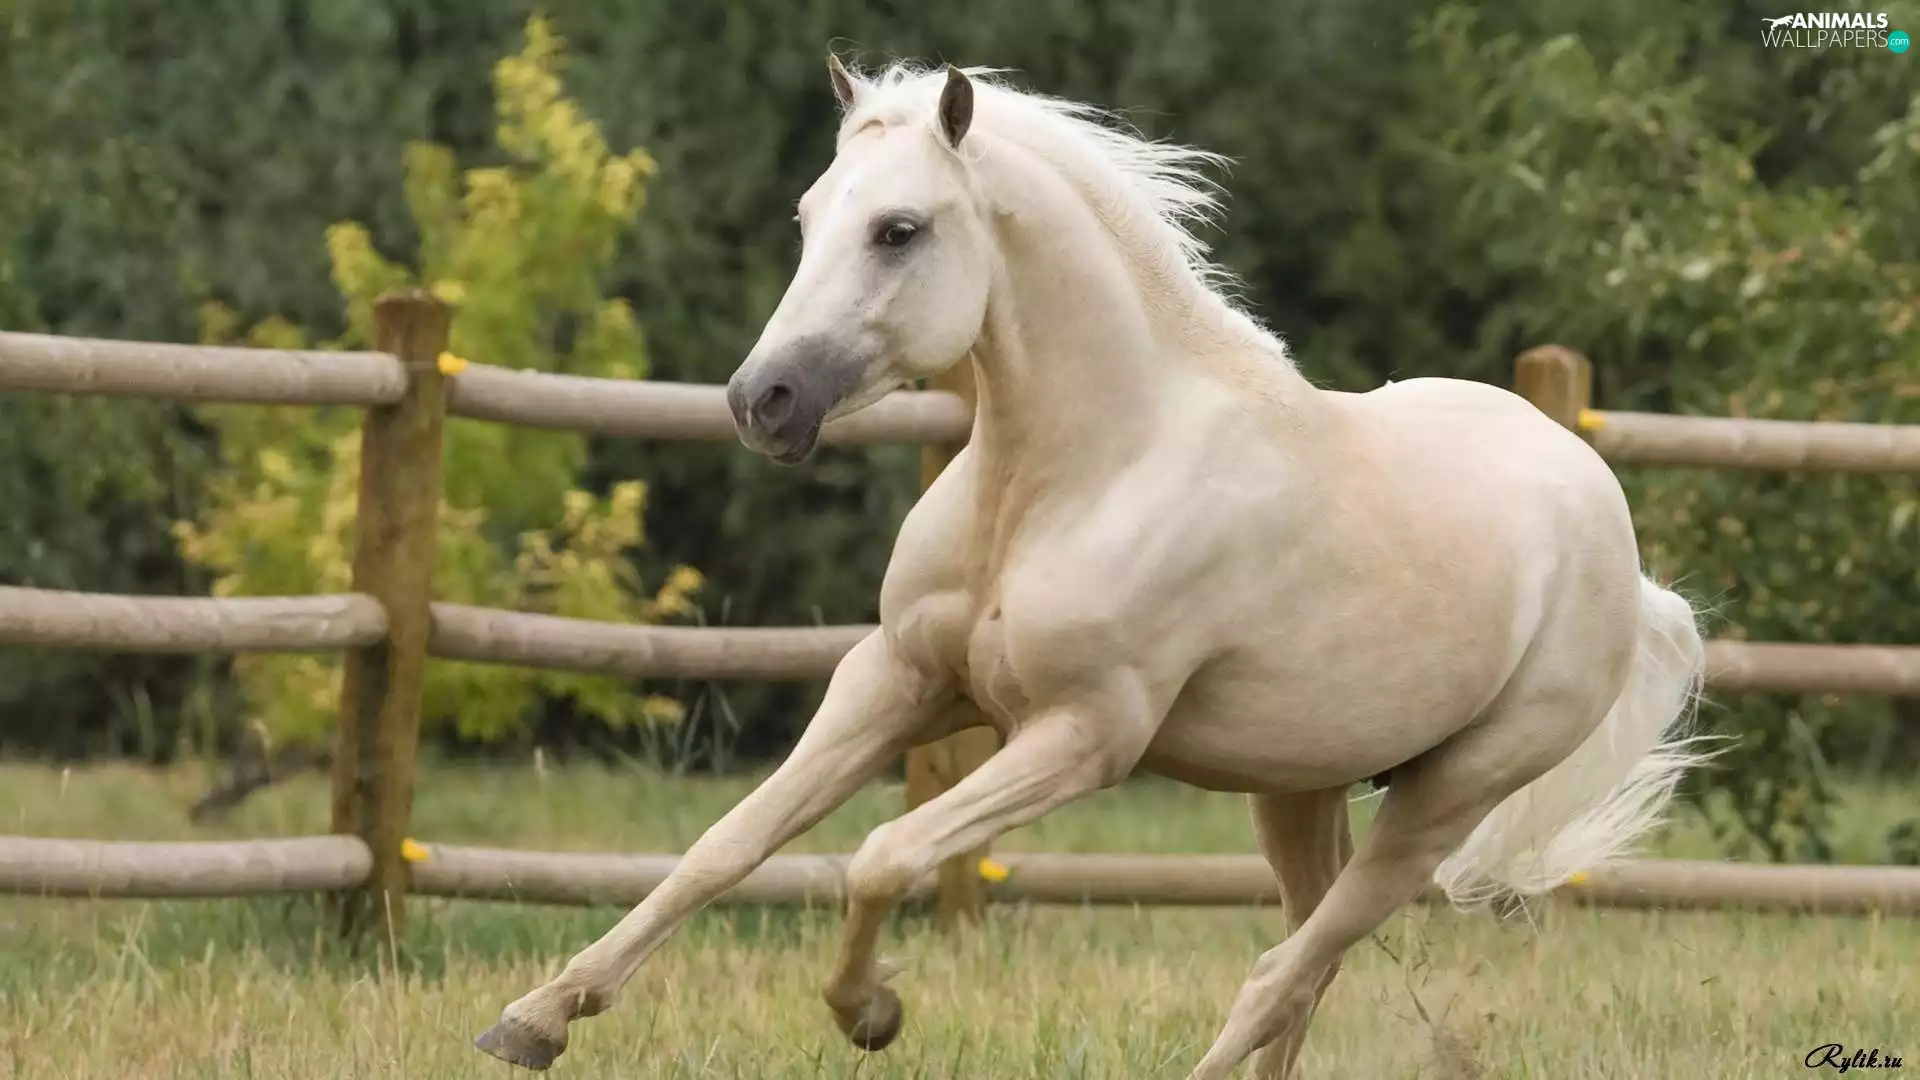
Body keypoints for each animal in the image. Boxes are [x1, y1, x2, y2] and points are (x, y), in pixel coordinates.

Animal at [476, 58, 1708, 1079]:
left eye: (899, 230)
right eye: (810, 216)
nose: (762, 402)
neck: (1070, 479)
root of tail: (1616, 540)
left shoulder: (1082, 736)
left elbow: (881, 854)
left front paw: (870, 1013)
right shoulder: (896, 683)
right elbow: (724, 846)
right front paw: (534, 1019)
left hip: (1449, 798)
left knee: (1284, 971)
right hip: (1298, 786)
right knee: (1306, 966)